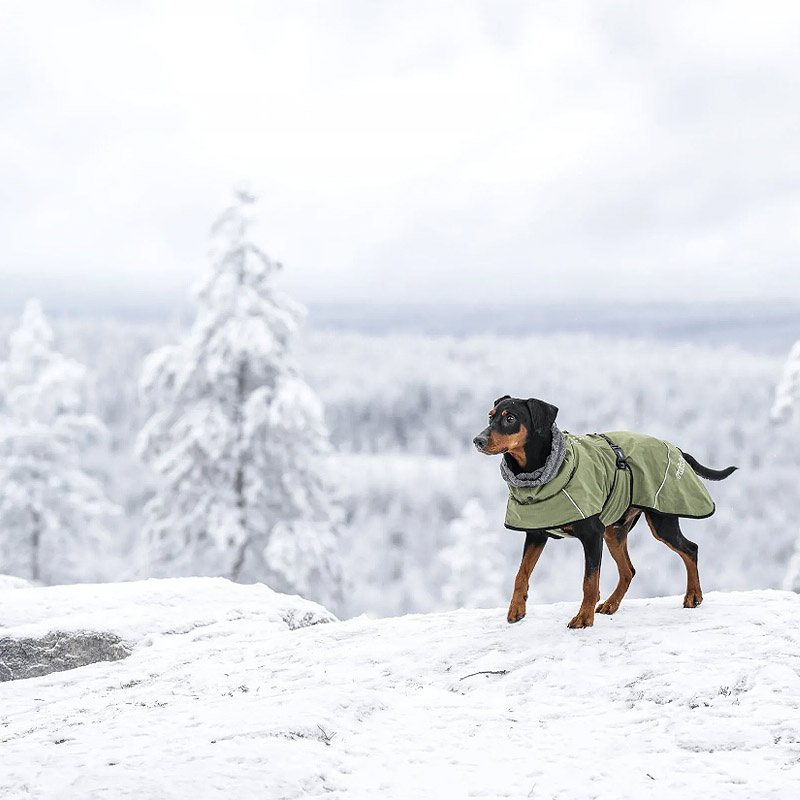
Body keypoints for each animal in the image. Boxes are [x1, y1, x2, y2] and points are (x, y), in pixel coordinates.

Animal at [476, 396, 736, 628]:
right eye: (490, 416)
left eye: (510, 418)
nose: (477, 440)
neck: (540, 473)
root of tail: (676, 448)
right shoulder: (536, 533)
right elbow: (521, 574)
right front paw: (516, 609)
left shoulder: (592, 534)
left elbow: (589, 582)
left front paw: (583, 618)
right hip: (614, 531)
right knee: (629, 570)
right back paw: (612, 604)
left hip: (661, 522)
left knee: (690, 549)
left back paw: (693, 596)